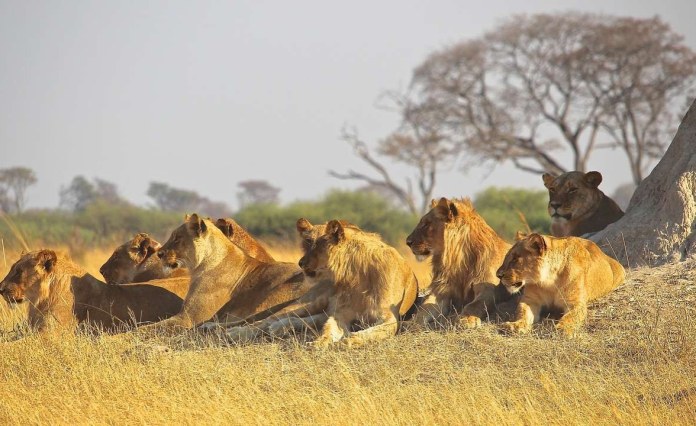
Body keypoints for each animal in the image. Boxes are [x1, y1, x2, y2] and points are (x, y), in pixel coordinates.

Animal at [141, 214, 313, 332]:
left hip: (273, 296)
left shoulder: (188, 318)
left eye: (177, 238)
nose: (160, 254)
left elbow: (148, 327)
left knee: (258, 321)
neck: (200, 266)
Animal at [296, 220, 418, 348]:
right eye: (308, 241)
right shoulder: (341, 312)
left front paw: (347, 341)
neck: (357, 275)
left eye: (318, 245)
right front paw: (318, 342)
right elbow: (328, 328)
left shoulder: (390, 317)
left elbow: (370, 332)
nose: (300, 263)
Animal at [406, 197, 518, 328]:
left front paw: (467, 319)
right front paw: (411, 323)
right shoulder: (441, 291)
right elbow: (424, 308)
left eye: (427, 224)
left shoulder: (488, 290)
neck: (458, 262)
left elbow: (475, 305)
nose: (407, 242)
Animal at [496, 233, 625, 337]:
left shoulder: (575, 303)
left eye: (515, 259)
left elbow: (571, 317)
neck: (549, 281)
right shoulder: (530, 300)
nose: (498, 275)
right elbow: (522, 312)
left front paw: (562, 329)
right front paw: (515, 325)